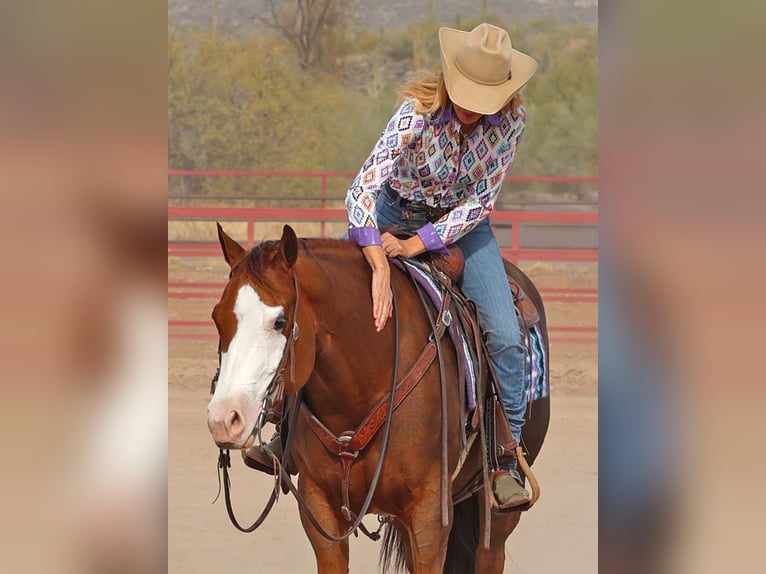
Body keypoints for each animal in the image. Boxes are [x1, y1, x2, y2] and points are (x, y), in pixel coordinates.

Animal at [207, 226, 548, 574]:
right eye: (217, 317)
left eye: (279, 321)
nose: (224, 418)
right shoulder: (320, 510)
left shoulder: (429, 518)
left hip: (496, 514)